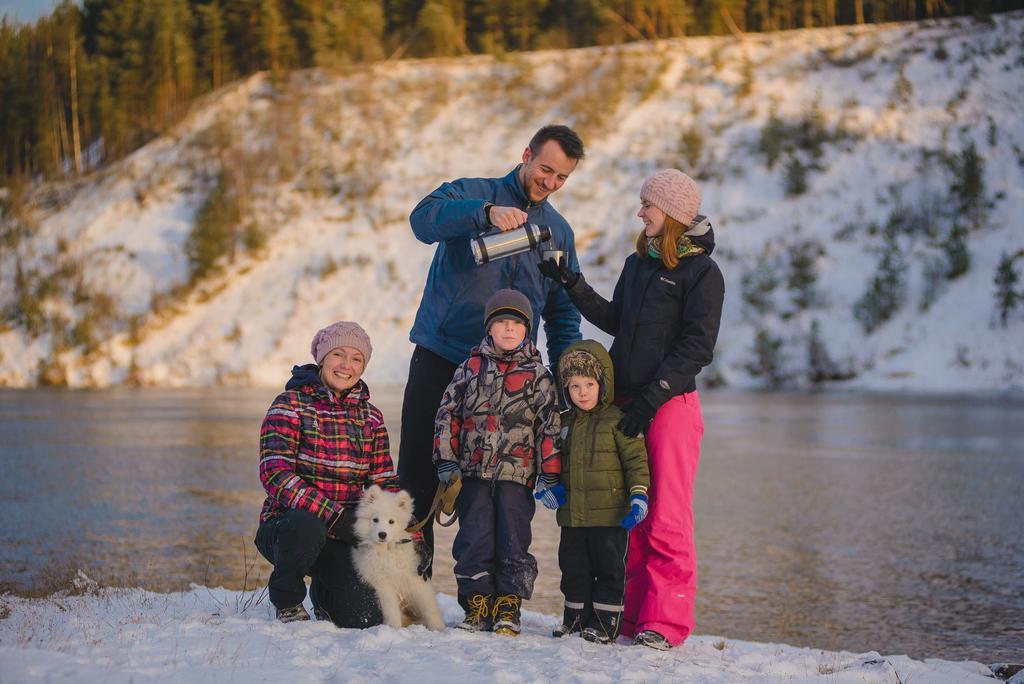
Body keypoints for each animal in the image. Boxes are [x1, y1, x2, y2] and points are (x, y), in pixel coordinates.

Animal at [352, 483, 444, 634]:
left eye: (391, 521)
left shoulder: (417, 578)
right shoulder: (383, 583)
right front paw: (393, 628)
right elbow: (391, 609)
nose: (382, 534)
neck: (388, 550)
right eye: (375, 519)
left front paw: (438, 628)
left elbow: (428, 606)